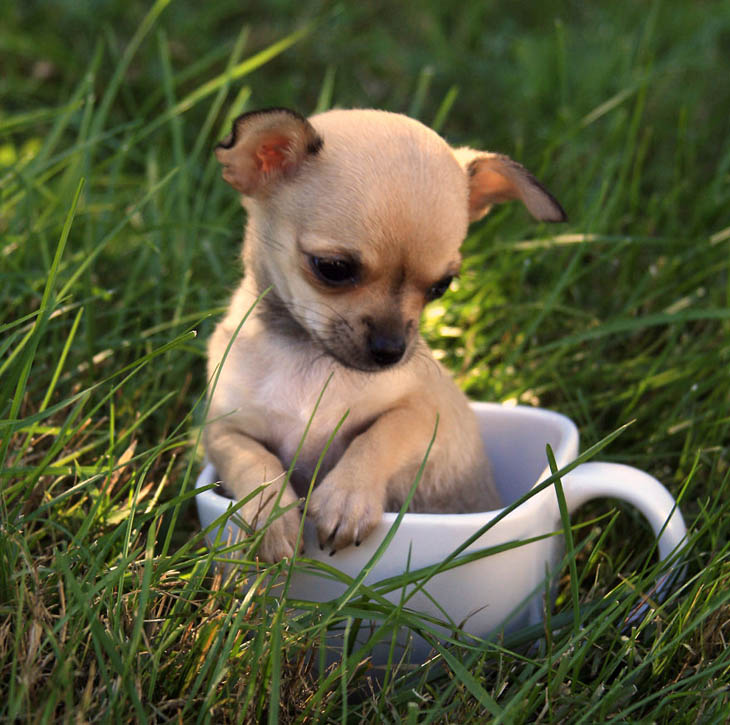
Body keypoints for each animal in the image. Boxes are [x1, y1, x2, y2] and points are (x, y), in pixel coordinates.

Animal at [203, 107, 564, 560]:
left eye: (441, 287)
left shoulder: (425, 412)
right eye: (332, 268)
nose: (391, 350)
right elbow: (254, 461)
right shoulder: (222, 431)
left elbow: (380, 434)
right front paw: (270, 516)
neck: (308, 358)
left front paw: (346, 498)